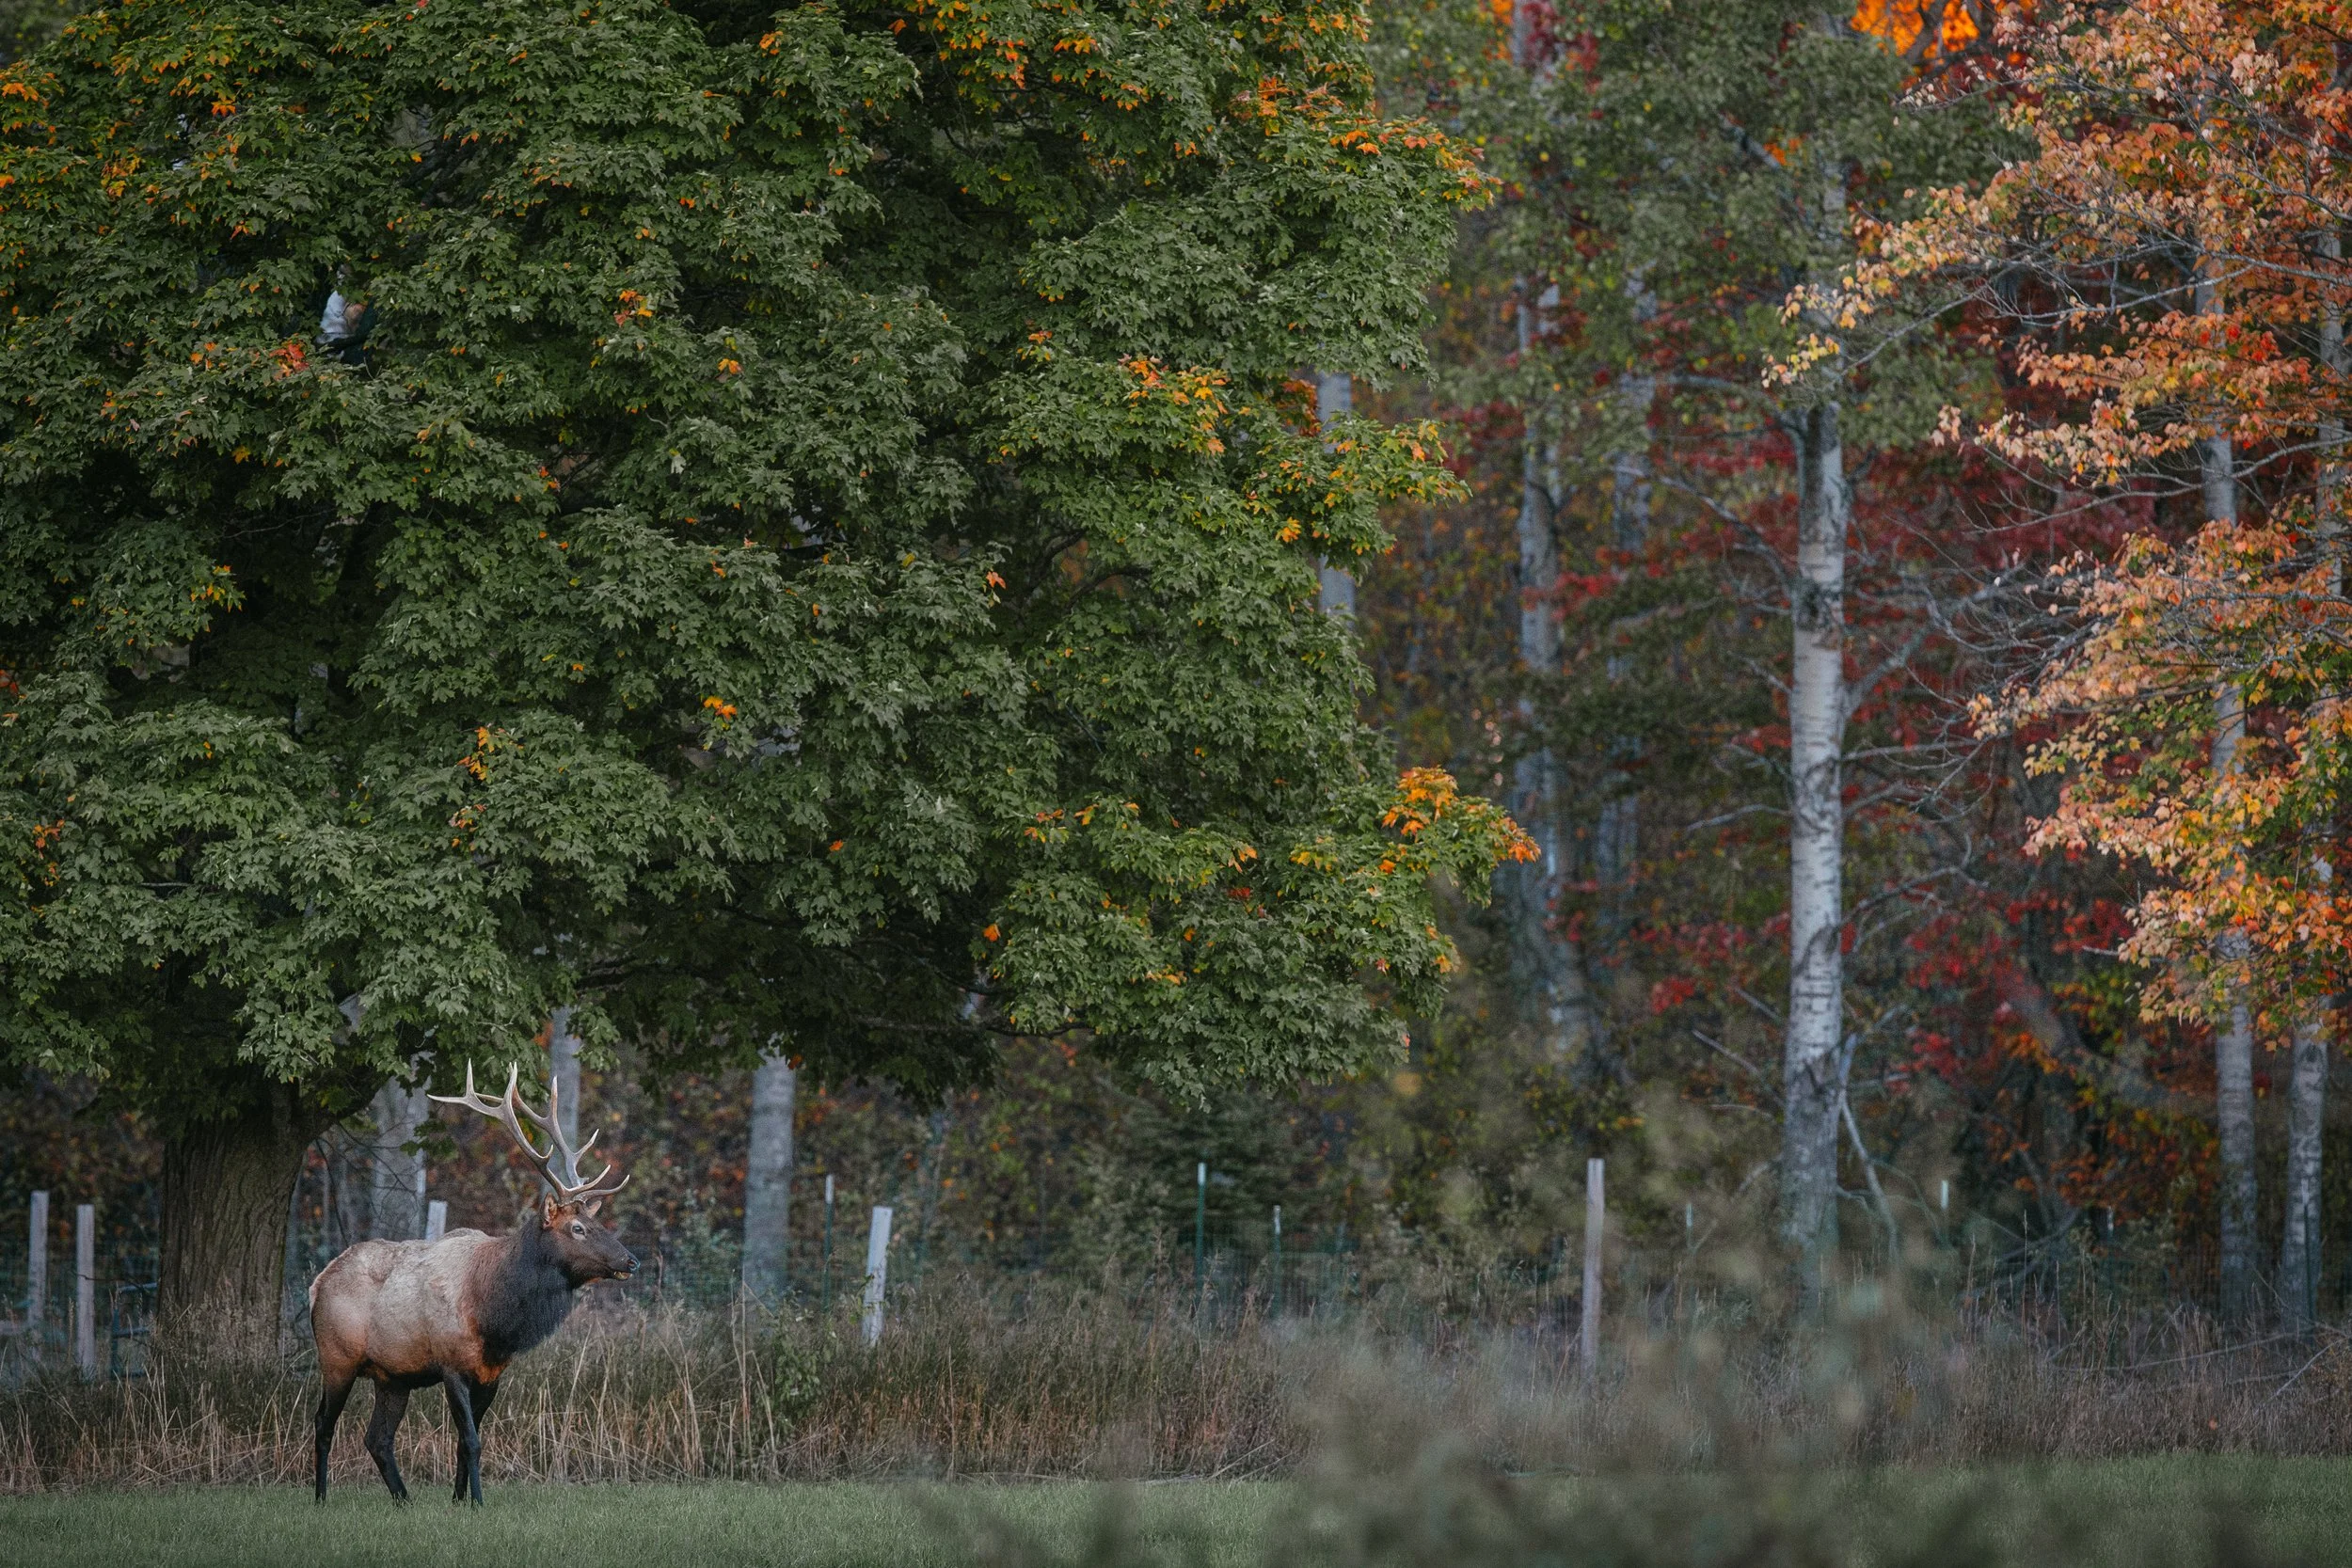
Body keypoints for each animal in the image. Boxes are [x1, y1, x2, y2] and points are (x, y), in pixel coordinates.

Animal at [309, 1062, 636, 1505]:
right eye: (579, 1228)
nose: (631, 1260)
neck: (495, 1319)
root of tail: (317, 1283)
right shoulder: (452, 1365)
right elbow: (471, 1441)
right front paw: (477, 1501)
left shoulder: (491, 1373)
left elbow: (467, 1442)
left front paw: (459, 1500)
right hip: (336, 1358)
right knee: (323, 1423)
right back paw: (321, 1497)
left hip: (392, 1376)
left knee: (377, 1438)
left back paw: (404, 1500)